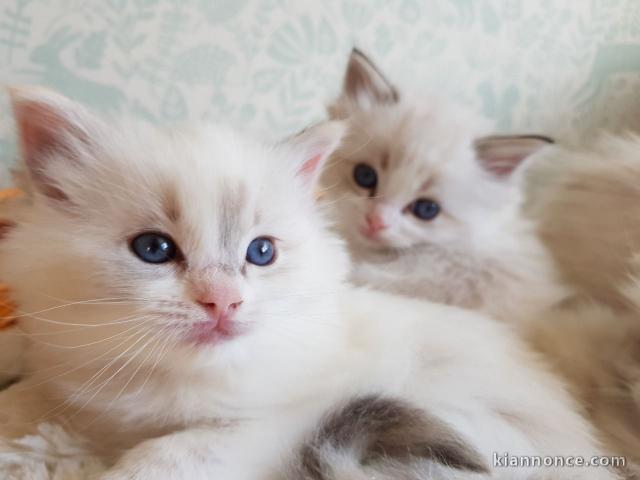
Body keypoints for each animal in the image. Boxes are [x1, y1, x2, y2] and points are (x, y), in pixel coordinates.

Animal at [0, 87, 620, 480]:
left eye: (261, 253)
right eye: (153, 250)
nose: (223, 301)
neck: (172, 380)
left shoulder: (285, 421)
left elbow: (166, 456)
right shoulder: (77, 385)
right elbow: (27, 406)